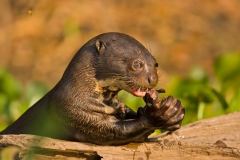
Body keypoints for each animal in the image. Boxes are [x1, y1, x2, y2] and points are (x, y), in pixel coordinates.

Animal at [0, 32, 185, 145]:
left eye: (156, 63)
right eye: (137, 64)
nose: (152, 79)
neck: (81, 93)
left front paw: (173, 111)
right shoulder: (74, 113)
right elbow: (115, 132)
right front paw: (157, 116)